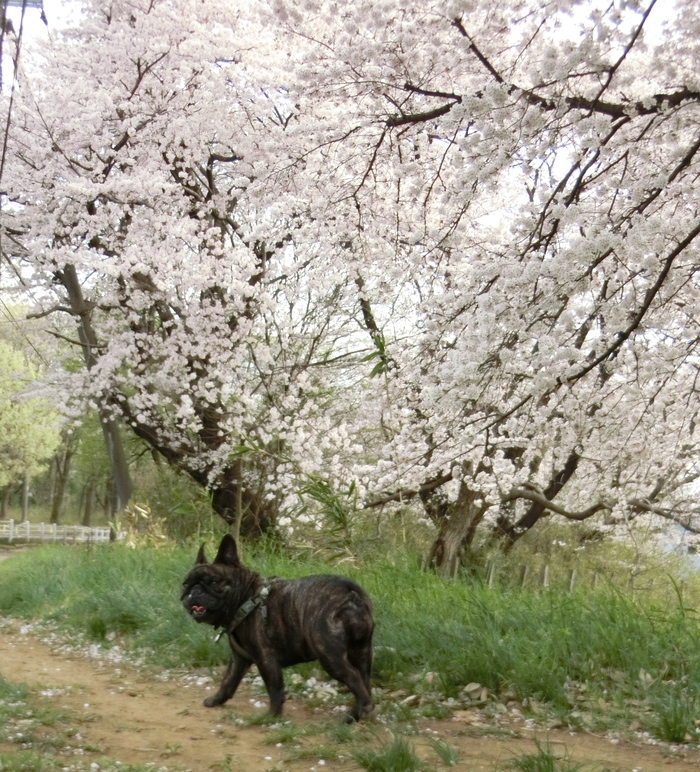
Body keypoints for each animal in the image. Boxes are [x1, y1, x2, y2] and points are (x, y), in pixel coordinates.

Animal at [183, 532, 374, 720]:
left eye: (214, 582)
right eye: (185, 584)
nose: (194, 591)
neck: (246, 597)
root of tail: (348, 593)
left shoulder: (265, 657)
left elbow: (274, 688)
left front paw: (272, 715)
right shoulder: (239, 658)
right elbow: (229, 680)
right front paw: (216, 700)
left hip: (329, 655)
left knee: (355, 679)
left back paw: (355, 714)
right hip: (361, 651)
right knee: (364, 678)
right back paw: (363, 711)